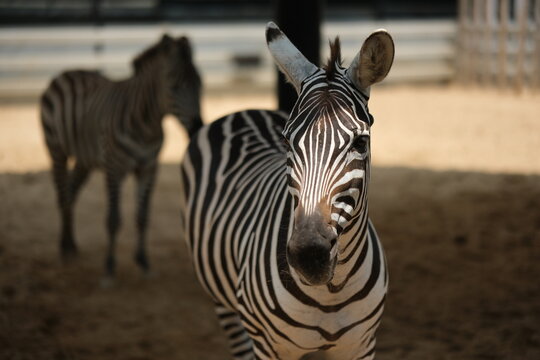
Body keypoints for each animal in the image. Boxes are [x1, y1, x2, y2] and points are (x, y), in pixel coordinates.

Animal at [40, 33, 202, 278]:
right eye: (174, 87)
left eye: (200, 84)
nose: (198, 127)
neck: (147, 125)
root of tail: (65, 73)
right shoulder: (114, 168)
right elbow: (113, 220)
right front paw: (109, 266)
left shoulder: (149, 168)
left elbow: (143, 216)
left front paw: (143, 261)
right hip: (56, 150)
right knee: (62, 195)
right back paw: (64, 248)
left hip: (85, 159)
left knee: (70, 192)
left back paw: (72, 244)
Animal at [179, 23, 394, 360]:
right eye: (288, 142)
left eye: (360, 142)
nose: (309, 256)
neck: (332, 290)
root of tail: (246, 110)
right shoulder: (270, 347)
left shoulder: (361, 345)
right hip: (222, 298)